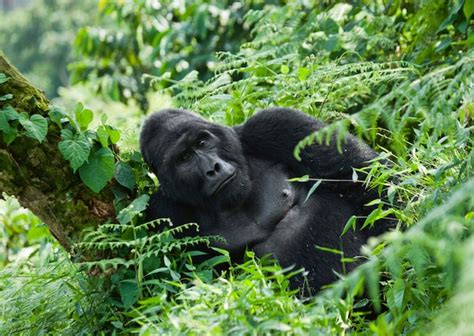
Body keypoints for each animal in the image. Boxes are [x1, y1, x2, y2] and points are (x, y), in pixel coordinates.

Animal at [139, 107, 386, 292]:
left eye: (202, 142)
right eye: (185, 158)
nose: (213, 169)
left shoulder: (274, 125)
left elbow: (365, 179)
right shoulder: (163, 212)